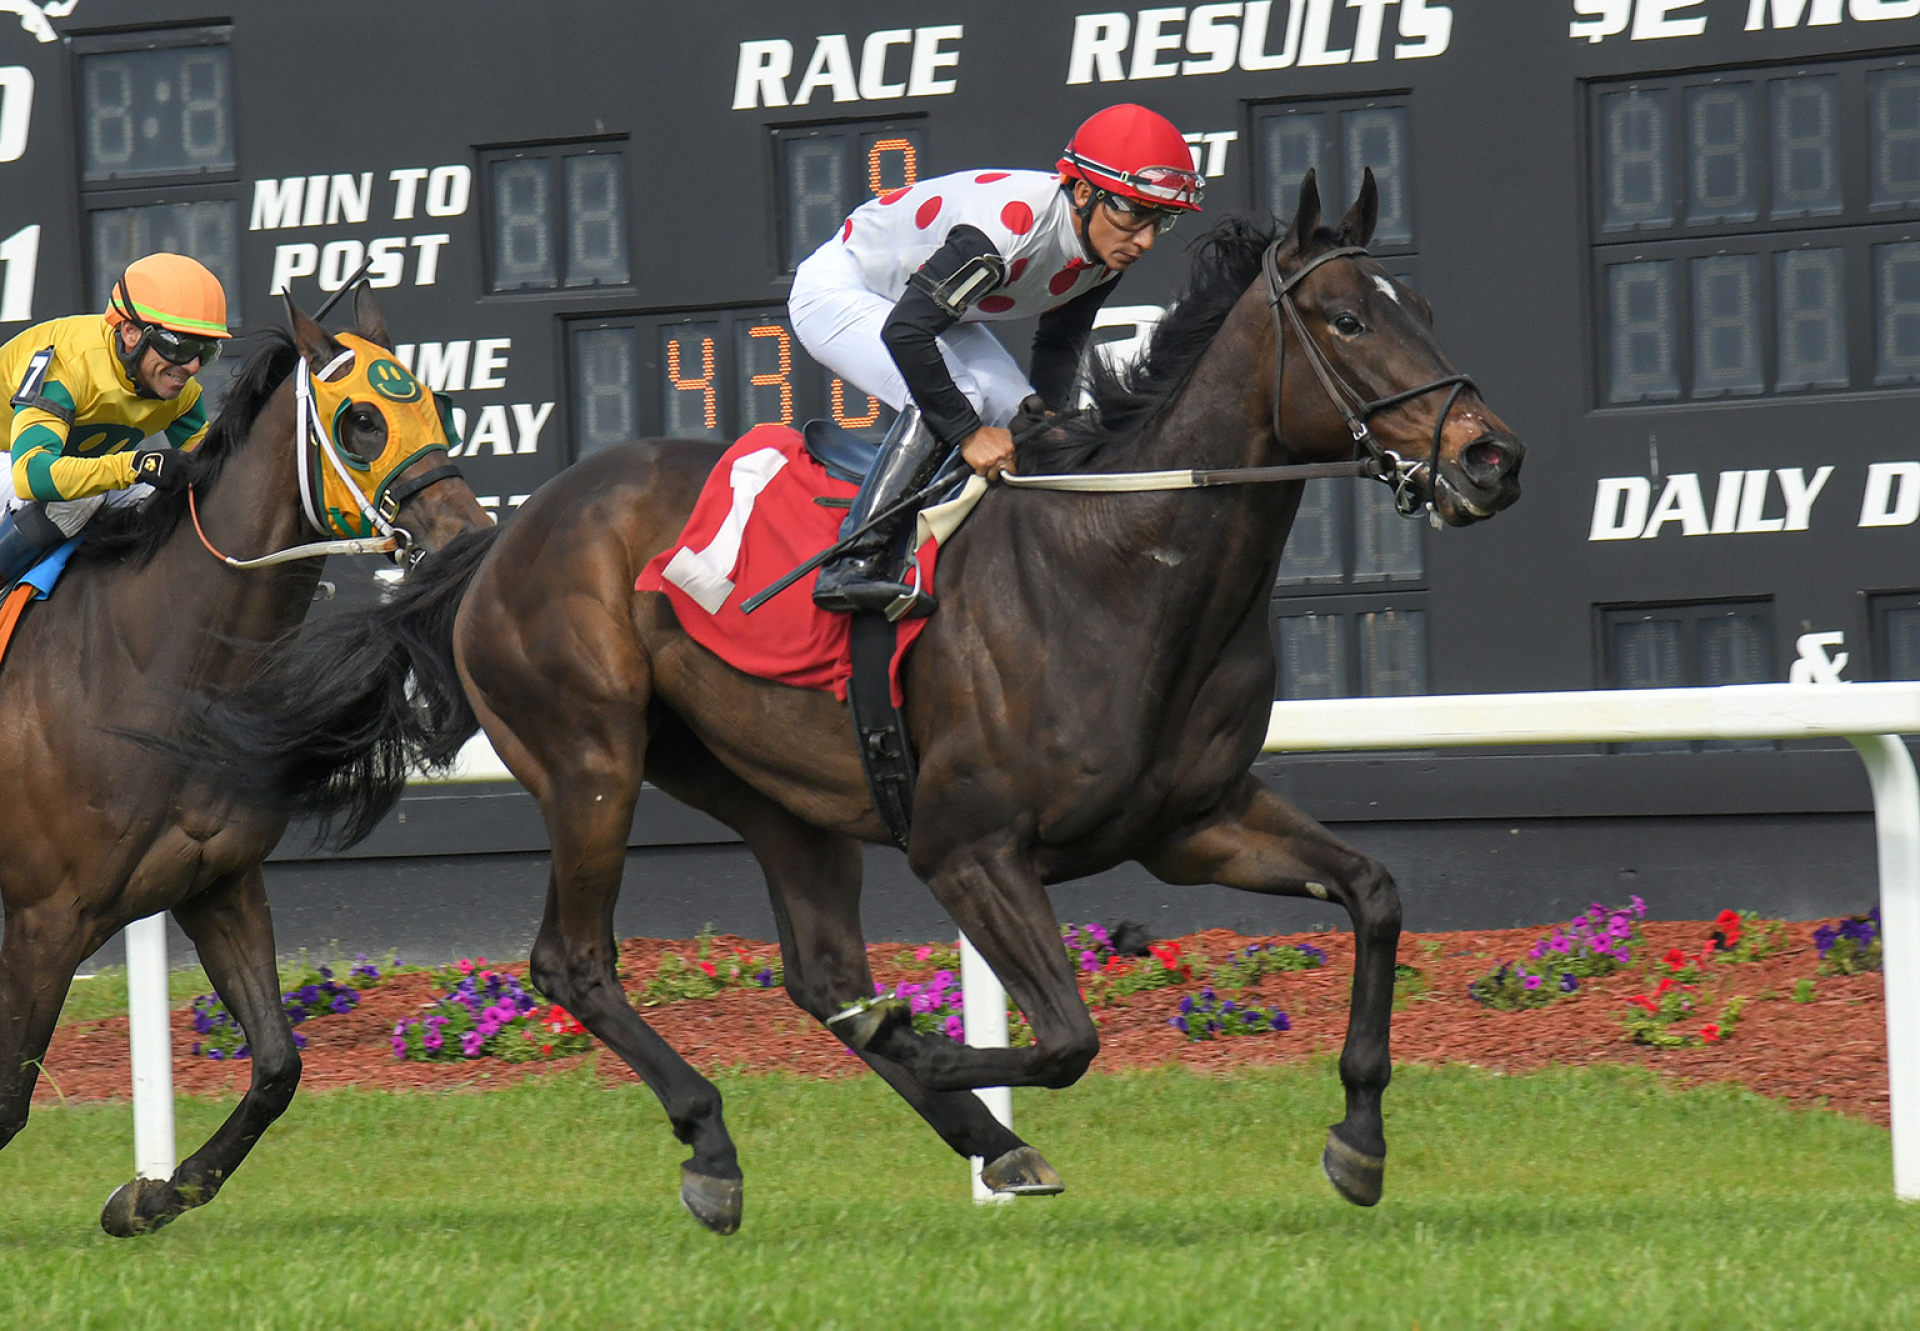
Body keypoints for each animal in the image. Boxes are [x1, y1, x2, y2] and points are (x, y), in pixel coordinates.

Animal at [0, 290, 491, 1236]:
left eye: (436, 403)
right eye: (363, 419)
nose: (469, 537)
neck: (147, 664)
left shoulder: (216, 884)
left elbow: (276, 1065)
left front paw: (150, 1194)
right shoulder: (44, 920)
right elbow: (7, 1099)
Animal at [194, 170, 1520, 1229]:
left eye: (1425, 311)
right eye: (1347, 317)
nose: (1492, 457)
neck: (1115, 563)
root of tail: (496, 540)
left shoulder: (1195, 821)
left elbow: (1376, 893)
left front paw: (1359, 1139)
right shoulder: (967, 843)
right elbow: (1067, 1036)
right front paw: (932, 1049)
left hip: (776, 790)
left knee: (823, 971)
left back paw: (972, 1134)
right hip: (589, 758)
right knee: (574, 960)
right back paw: (720, 1141)